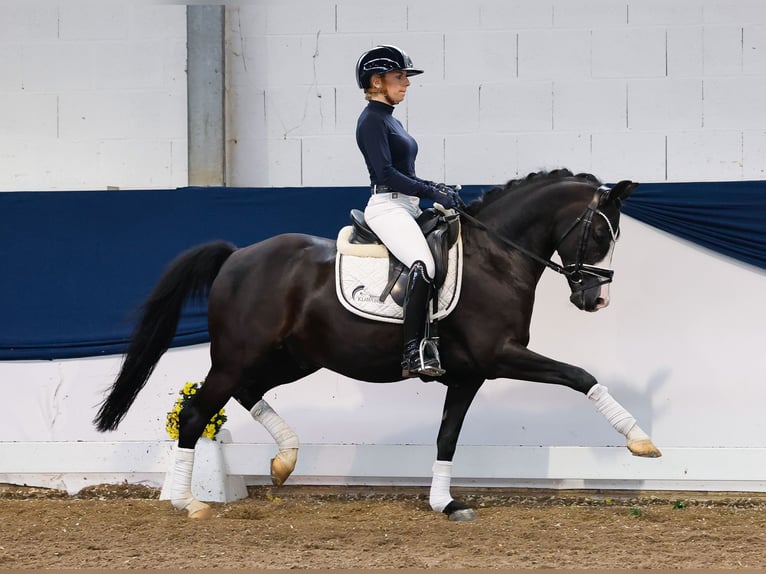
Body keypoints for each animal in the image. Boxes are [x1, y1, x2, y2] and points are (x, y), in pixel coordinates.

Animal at [94, 170, 660, 520]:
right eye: (599, 235)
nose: (596, 300)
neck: (495, 257)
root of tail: (236, 256)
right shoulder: (499, 355)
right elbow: (580, 376)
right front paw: (640, 441)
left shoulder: (469, 374)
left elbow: (447, 437)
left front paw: (445, 503)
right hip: (240, 355)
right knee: (196, 412)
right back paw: (186, 503)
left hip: (295, 357)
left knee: (242, 394)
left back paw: (284, 460)